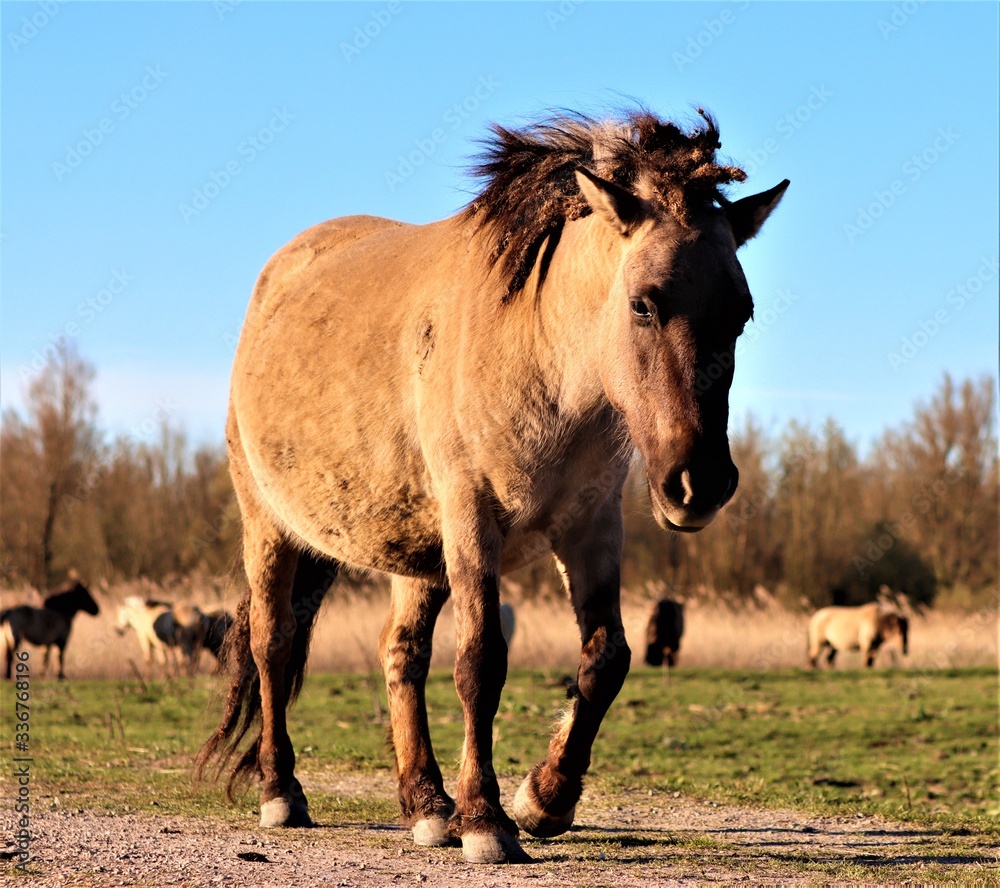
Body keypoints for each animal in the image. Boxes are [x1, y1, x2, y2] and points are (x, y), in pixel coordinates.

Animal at [198, 108, 788, 864]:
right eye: (643, 305)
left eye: (741, 313)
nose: (700, 483)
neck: (541, 361)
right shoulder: (474, 521)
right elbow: (480, 664)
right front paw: (486, 821)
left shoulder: (591, 528)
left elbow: (607, 659)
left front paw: (544, 798)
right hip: (271, 528)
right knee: (273, 643)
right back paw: (283, 791)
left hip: (416, 556)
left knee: (401, 654)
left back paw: (426, 804)